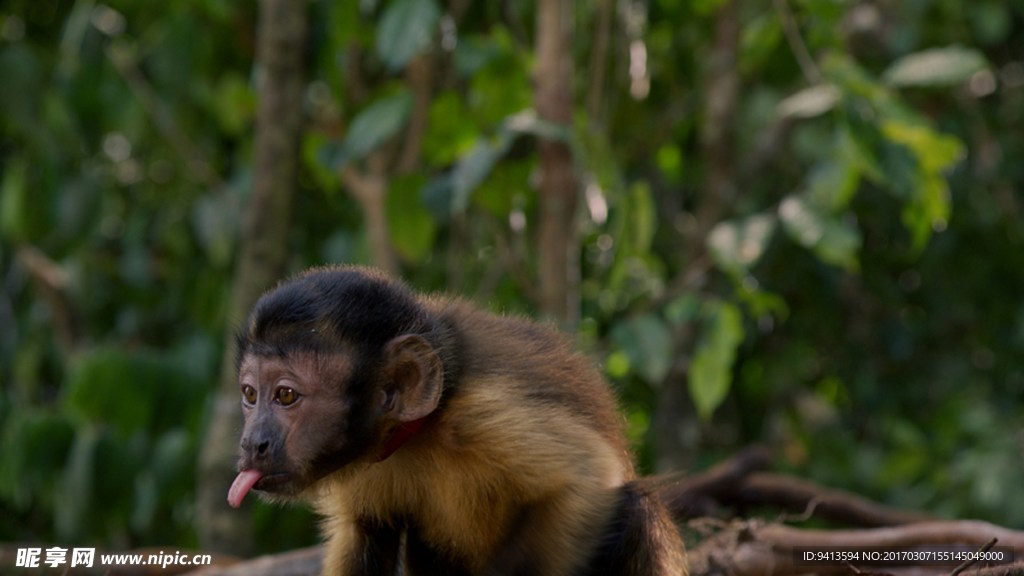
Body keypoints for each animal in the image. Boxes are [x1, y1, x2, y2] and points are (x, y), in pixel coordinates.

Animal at [230, 266, 688, 573]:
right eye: (250, 396)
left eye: (286, 396)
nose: (252, 443)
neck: (414, 432)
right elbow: (365, 532)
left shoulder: (483, 411)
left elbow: (587, 476)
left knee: (634, 508)